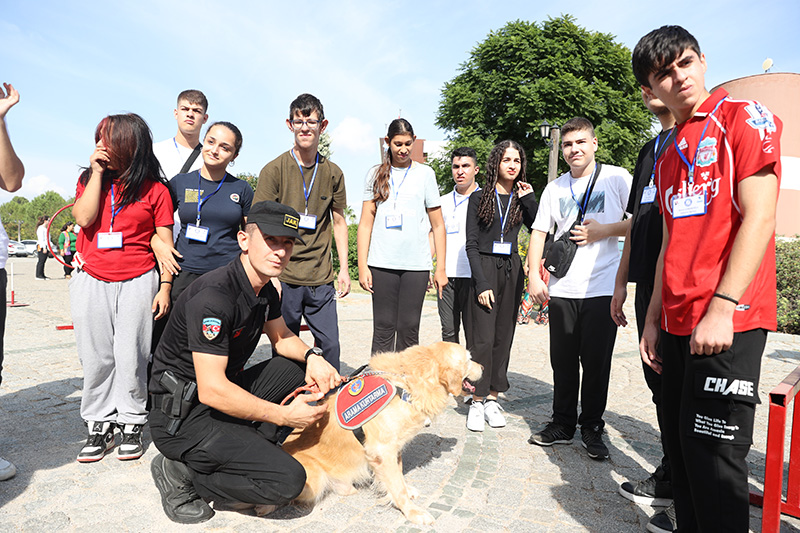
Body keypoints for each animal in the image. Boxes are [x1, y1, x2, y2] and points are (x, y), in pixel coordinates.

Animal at [282, 340, 482, 524]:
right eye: (469, 359)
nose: (483, 367)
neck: (407, 385)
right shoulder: (383, 451)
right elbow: (397, 486)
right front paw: (412, 512)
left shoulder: (395, 448)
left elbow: (398, 477)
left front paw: (406, 492)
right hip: (314, 480)